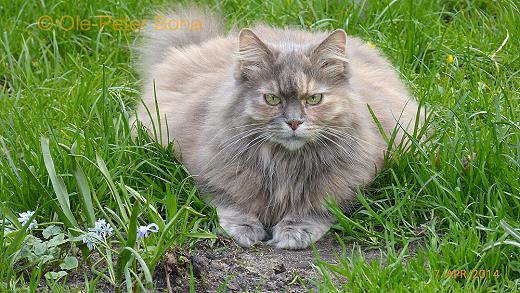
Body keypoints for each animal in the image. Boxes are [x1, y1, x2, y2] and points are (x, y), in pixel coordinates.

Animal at [136, 5, 420, 249]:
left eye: (313, 99)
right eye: (272, 99)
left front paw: (294, 232)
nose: (294, 122)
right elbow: (232, 202)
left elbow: (315, 209)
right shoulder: (210, 170)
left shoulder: (345, 183)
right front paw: (245, 229)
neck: (285, 163)